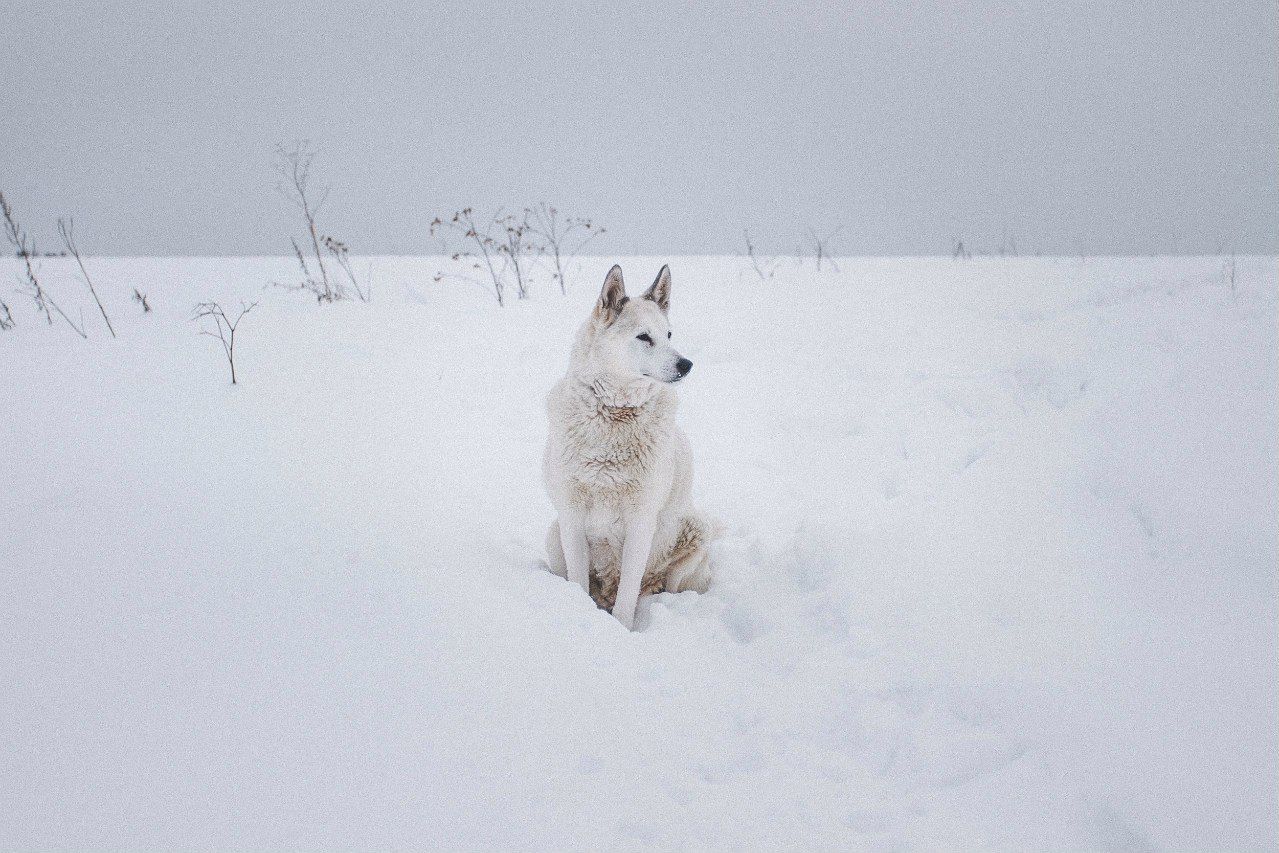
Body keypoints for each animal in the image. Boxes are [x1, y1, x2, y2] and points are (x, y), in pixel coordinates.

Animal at [544, 263, 716, 631]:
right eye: (643, 337)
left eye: (669, 334)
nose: (686, 365)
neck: (614, 415)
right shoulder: (571, 515)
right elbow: (578, 580)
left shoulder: (641, 521)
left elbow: (627, 595)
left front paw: (621, 630)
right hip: (554, 534)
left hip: (692, 535)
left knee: (661, 584)